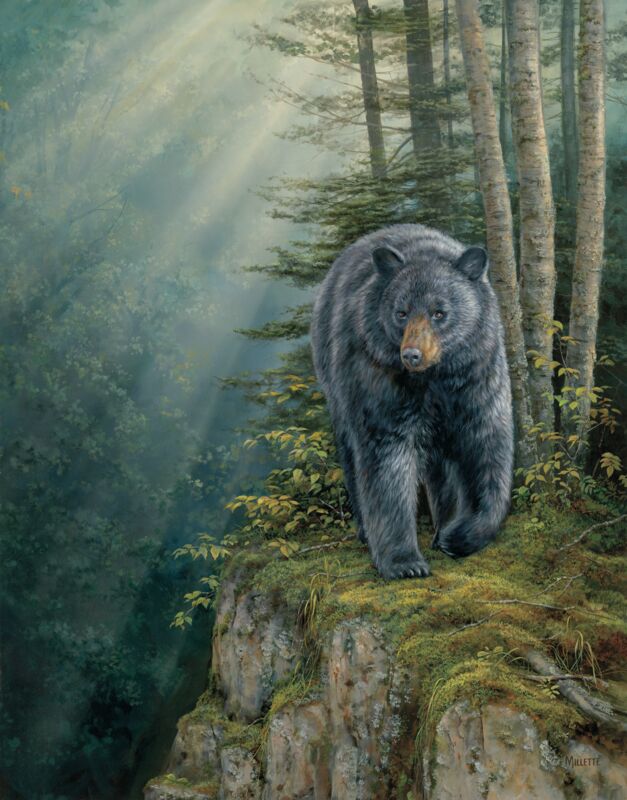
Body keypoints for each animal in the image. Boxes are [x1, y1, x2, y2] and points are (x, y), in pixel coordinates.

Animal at [310, 223, 514, 580]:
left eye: (439, 312)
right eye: (401, 313)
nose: (412, 355)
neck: (434, 380)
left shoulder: (477, 378)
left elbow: (488, 449)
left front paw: (459, 536)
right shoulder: (378, 381)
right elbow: (386, 460)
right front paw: (404, 562)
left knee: (442, 468)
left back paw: (442, 524)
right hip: (337, 389)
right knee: (351, 455)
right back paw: (365, 530)